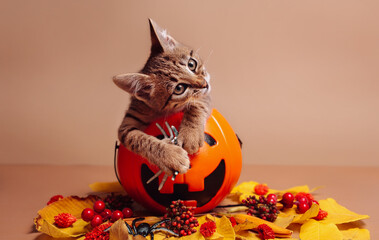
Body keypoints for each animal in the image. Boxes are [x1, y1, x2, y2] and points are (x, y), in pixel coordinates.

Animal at [114, 18, 212, 175]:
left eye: (191, 64)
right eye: (179, 88)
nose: (205, 84)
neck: (159, 111)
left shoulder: (206, 95)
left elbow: (197, 104)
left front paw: (190, 135)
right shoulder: (126, 124)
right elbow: (137, 138)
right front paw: (170, 156)